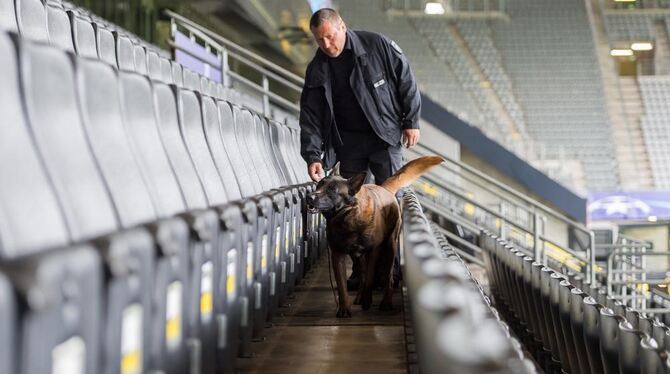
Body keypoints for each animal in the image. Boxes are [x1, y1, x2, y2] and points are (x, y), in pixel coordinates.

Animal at [306, 156, 444, 318]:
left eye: (332, 190)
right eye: (319, 184)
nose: (309, 197)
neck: (347, 216)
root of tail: (384, 188)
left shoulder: (374, 251)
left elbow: (370, 279)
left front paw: (367, 301)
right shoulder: (337, 255)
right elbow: (342, 286)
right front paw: (344, 308)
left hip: (389, 248)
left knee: (388, 278)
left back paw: (385, 302)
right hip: (357, 256)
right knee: (362, 274)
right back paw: (360, 297)